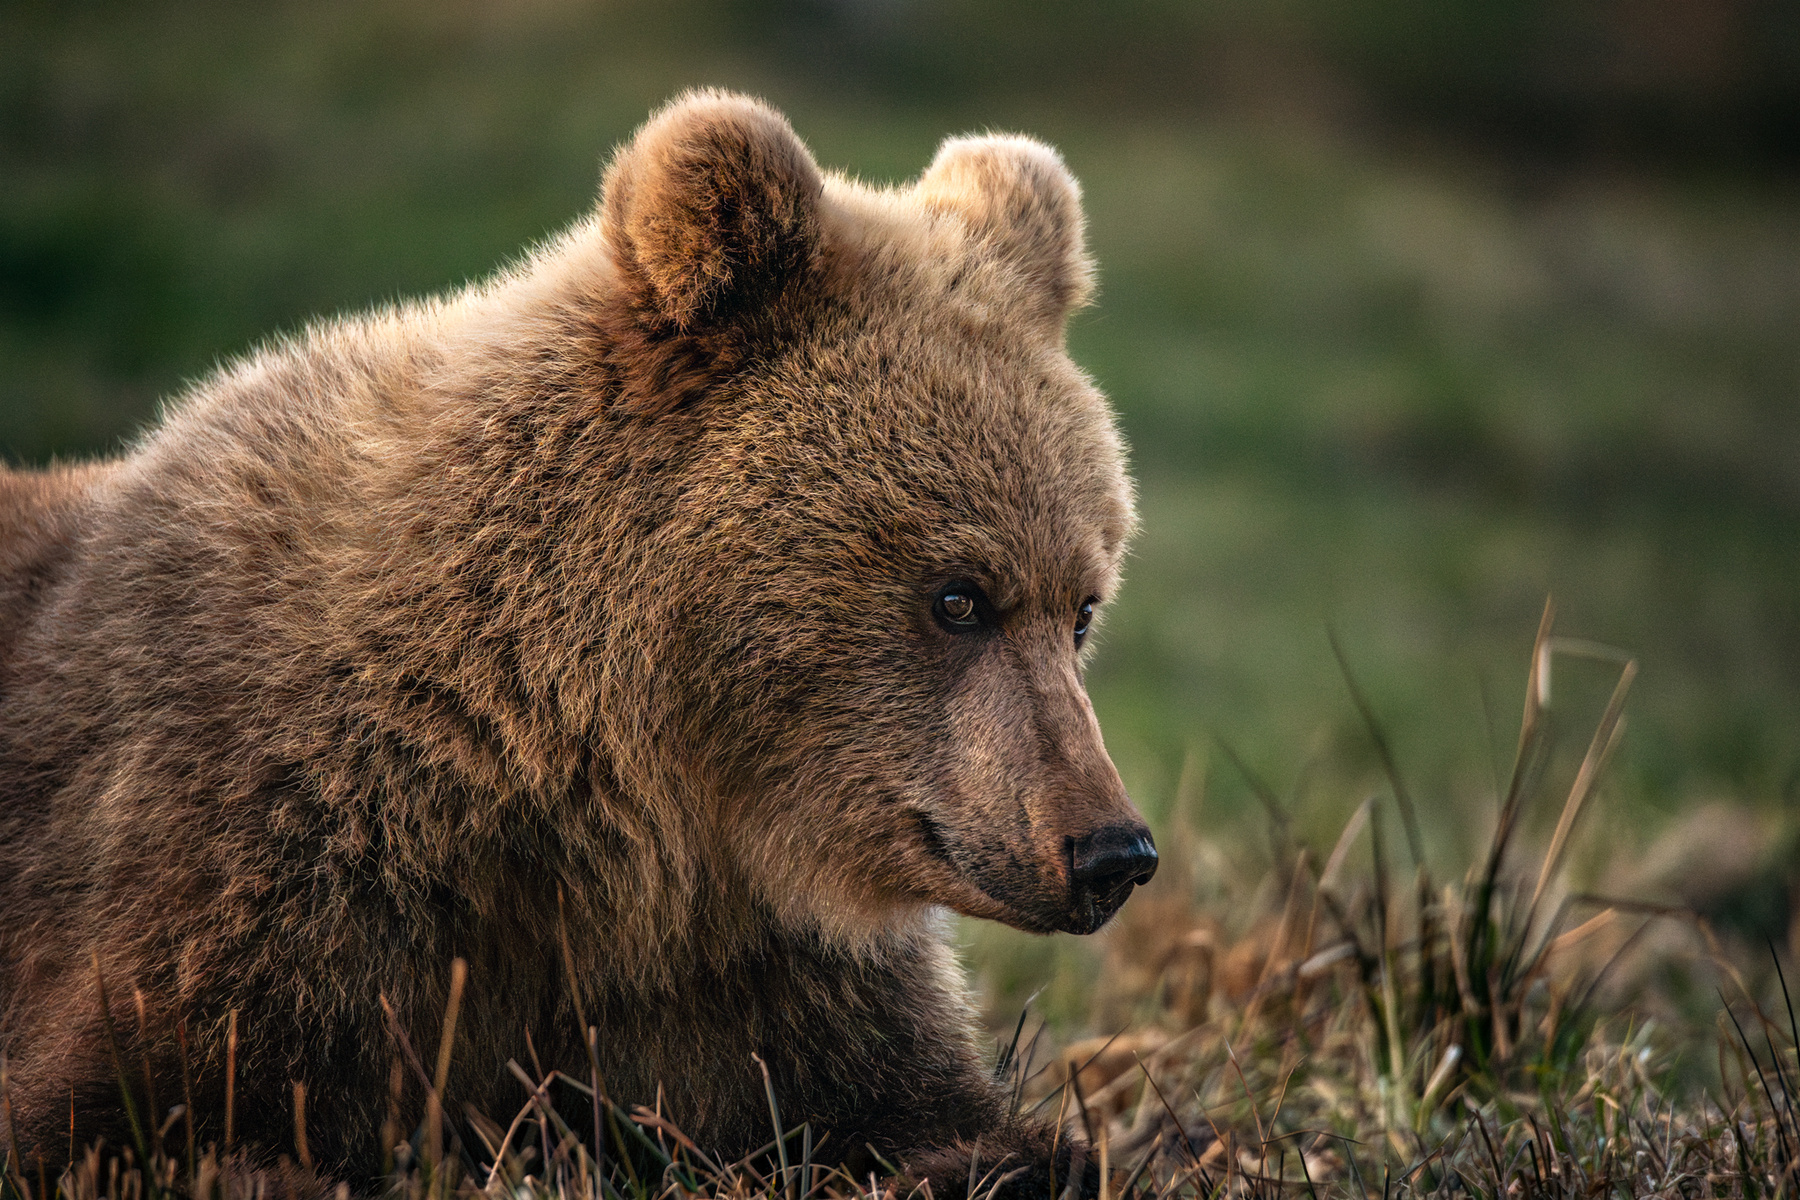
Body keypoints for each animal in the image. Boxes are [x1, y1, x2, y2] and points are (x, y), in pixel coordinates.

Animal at [0, 90, 1157, 1194]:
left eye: (1082, 607)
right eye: (958, 597)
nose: (1112, 850)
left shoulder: (752, 971)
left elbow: (912, 1109)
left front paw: (1018, 1160)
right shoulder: (261, 859)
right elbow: (137, 1109)